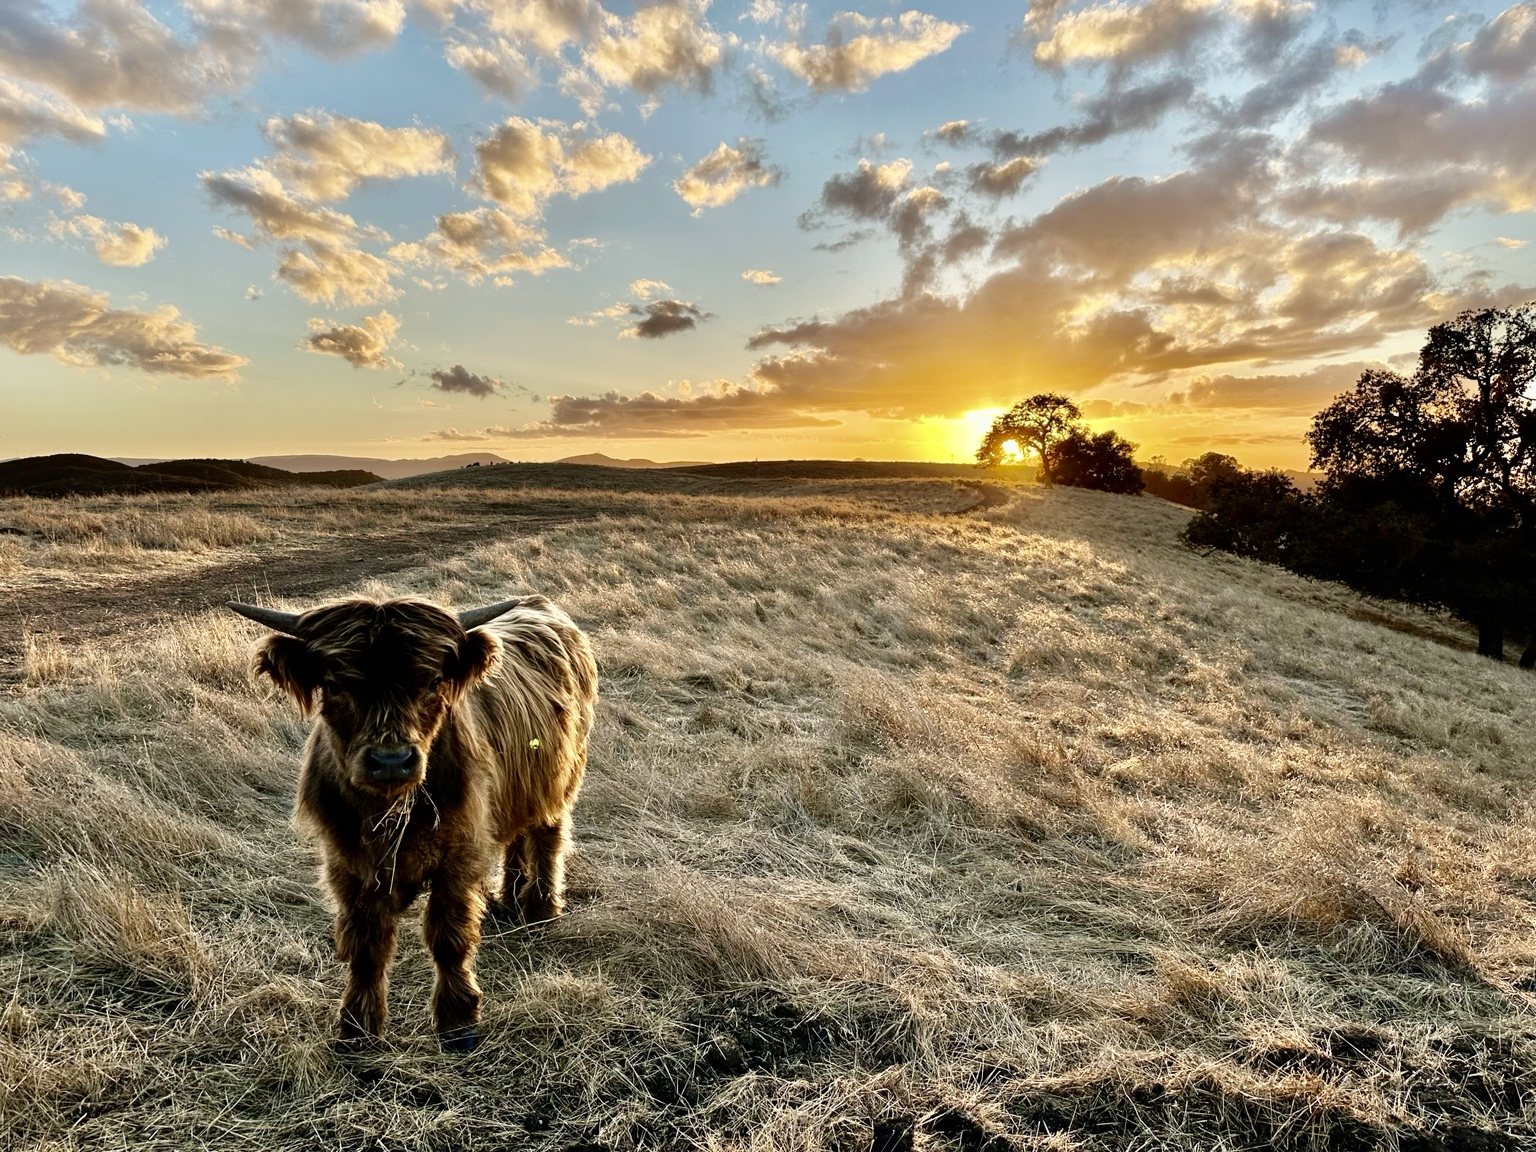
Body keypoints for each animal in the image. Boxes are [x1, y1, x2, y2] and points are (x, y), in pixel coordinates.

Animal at [227, 593, 597, 1052]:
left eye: (433, 682)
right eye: (335, 685)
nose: (390, 761)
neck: (390, 813)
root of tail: (539, 604)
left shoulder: (458, 855)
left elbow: (448, 937)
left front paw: (458, 1022)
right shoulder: (347, 864)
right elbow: (365, 945)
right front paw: (358, 1027)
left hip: (561, 779)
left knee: (547, 836)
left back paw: (540, 907)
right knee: (514, 836)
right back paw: (507, 899)